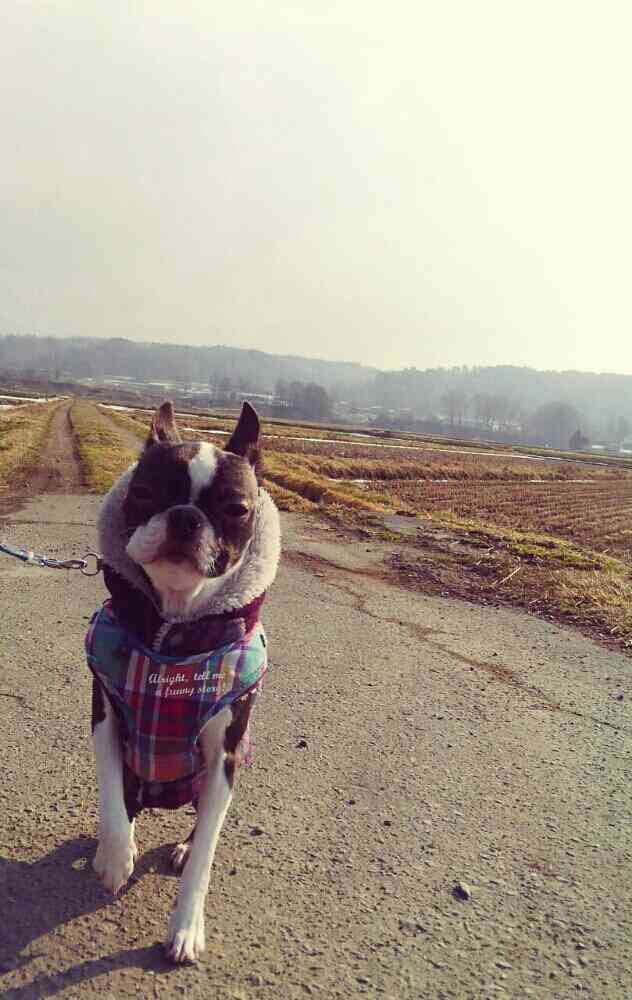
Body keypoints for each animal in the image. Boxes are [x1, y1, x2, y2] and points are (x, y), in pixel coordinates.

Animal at [85, 401, 280, 962]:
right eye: (145, 492)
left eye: (235, 509)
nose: (185, 516)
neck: (173, 633)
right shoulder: (107, 718)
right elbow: (110, 793)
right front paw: (115, 856)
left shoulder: (225, 758)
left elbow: (206, 856)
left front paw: (186, 926)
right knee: (128, 798)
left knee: (199, 823)